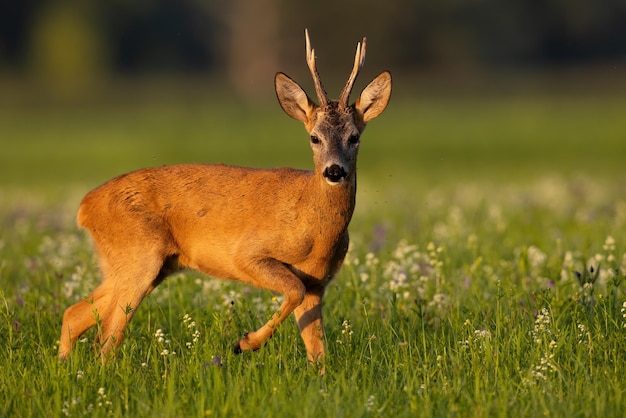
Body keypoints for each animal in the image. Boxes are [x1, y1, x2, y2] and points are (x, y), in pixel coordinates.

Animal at [58, 29, 390, 364]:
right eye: (314, 137)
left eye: (354, 137)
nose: (334, 171)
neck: (314, 229)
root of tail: (85, 207)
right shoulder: (247, 254)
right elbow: (292, 291)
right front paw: (244, 342)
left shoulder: (317, 282)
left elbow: (318, 351)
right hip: (139, 254)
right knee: (106, 337)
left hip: (143, 265)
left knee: (75, 314)